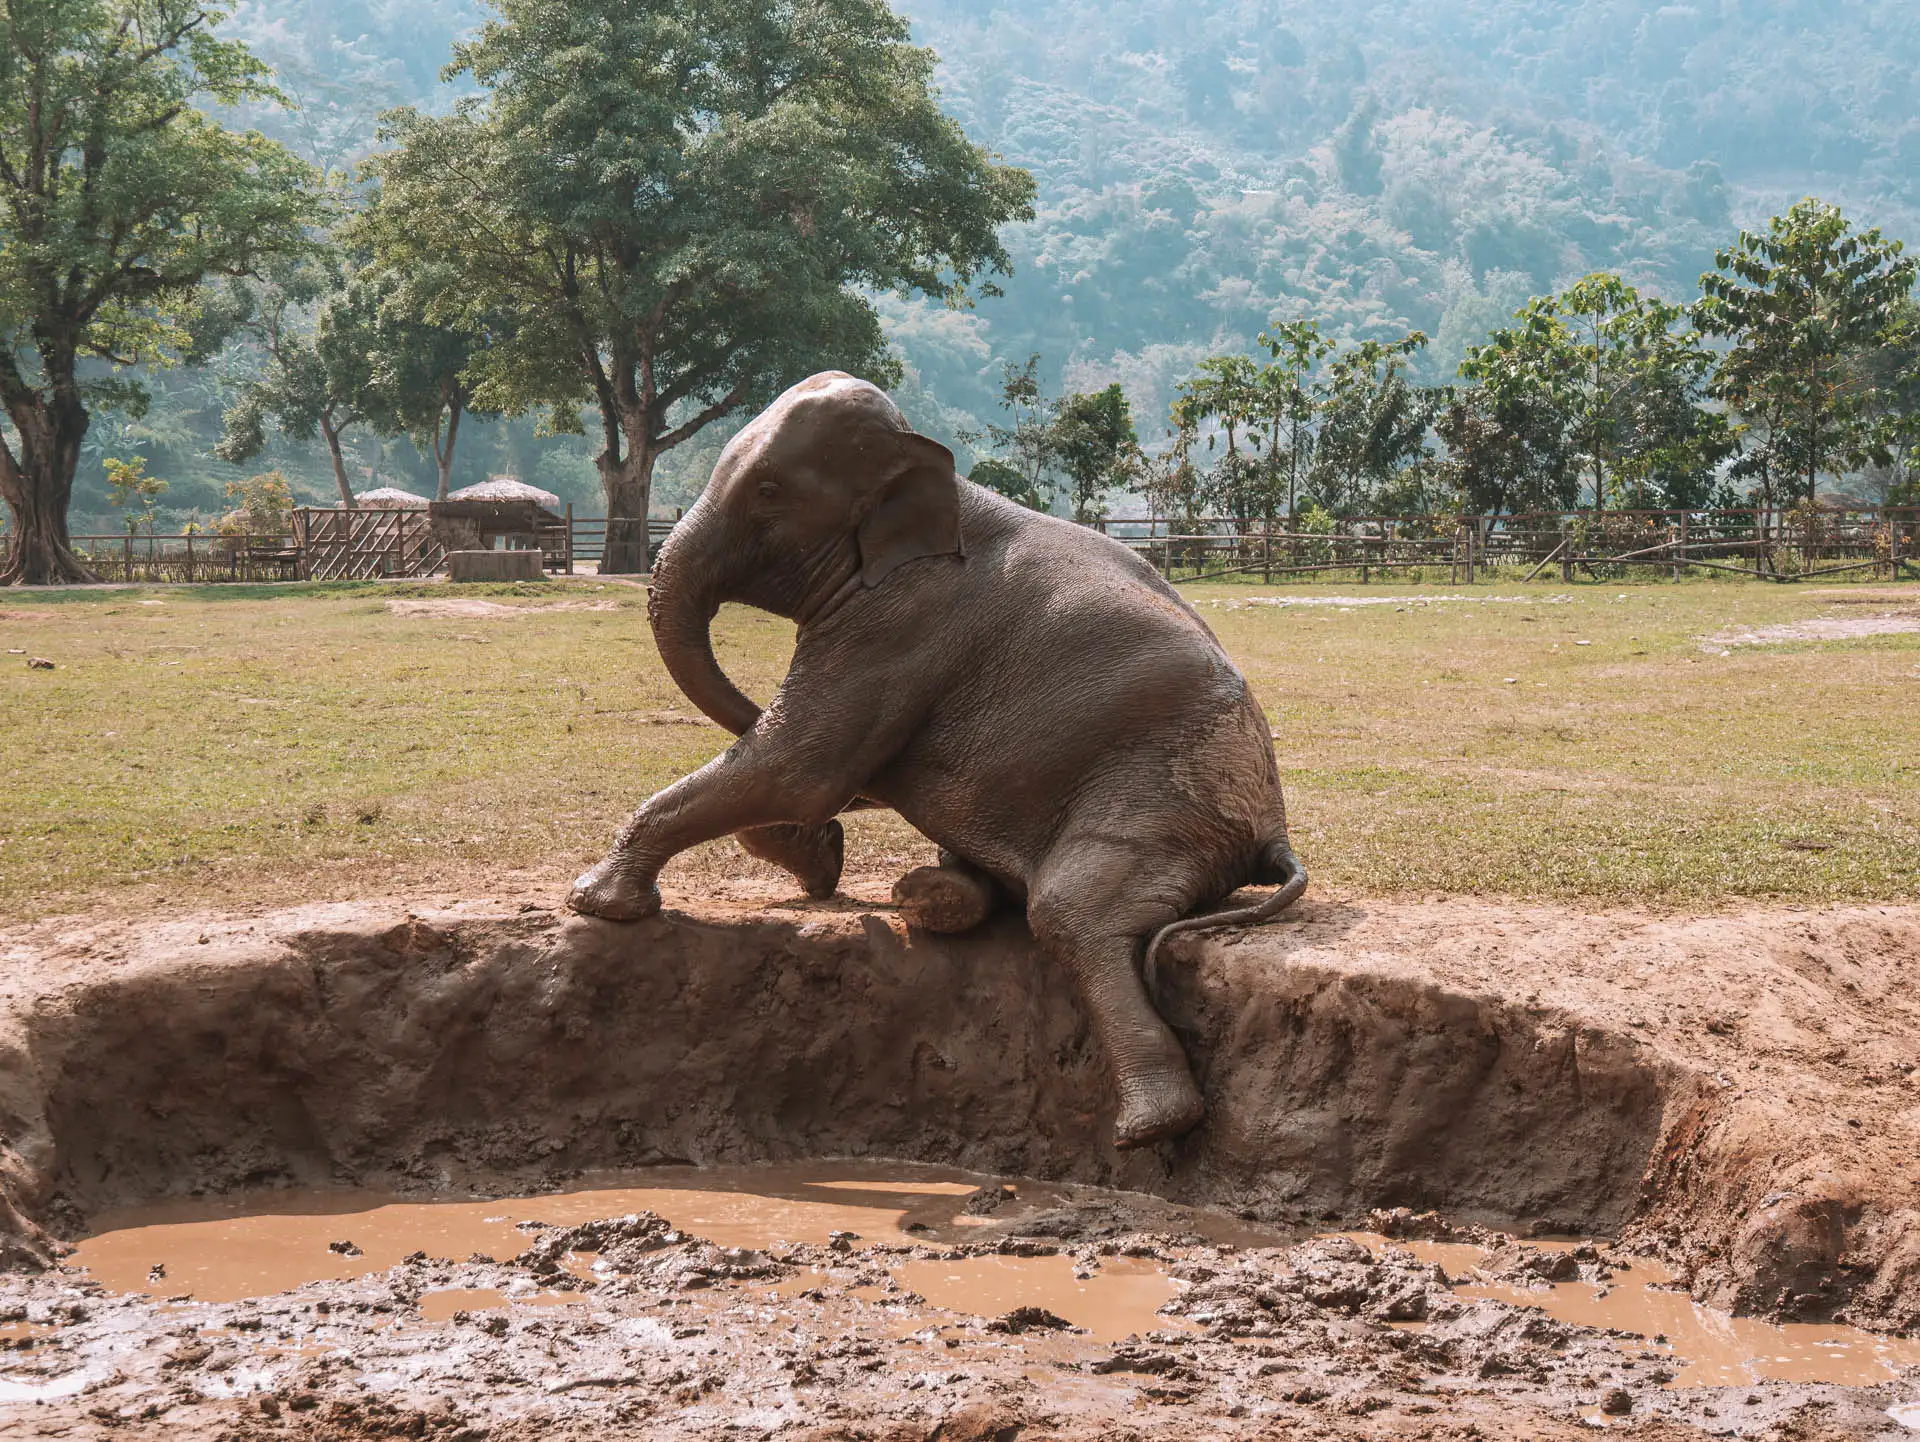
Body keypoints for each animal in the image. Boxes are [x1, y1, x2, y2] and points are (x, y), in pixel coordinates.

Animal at [568, 372, 1307, 1149]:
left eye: (769, 491)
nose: (824, 860)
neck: (933, 475)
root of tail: (1273, 827)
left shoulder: (901, 620)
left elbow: (802, 766)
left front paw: (599, 903)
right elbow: (820, 767)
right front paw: (814, 854)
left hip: (1166, 794)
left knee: (1071, 912)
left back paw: (1149, 1126)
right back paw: (933, 896)